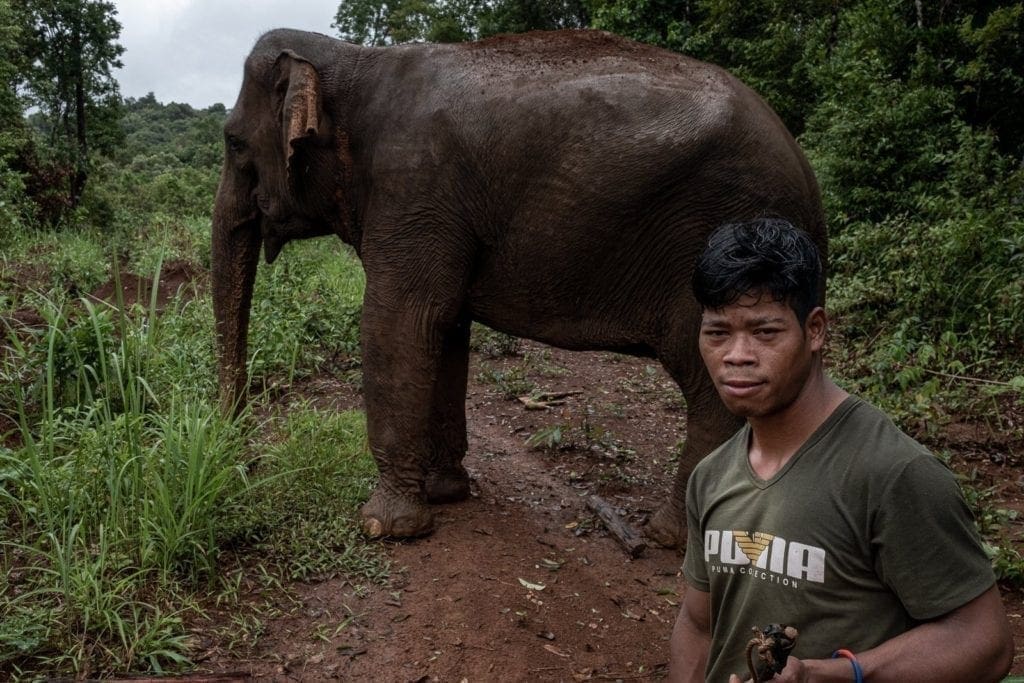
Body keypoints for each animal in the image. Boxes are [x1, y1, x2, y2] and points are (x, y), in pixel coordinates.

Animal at [212, 28, 826, 547]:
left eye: (234, 142)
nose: (243, 457)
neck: (355, 59)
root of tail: (804, 169)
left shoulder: (411, 186)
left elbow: (397, 323)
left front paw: (385, 526)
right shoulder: (434, 211)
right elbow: (444, 326)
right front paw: (446, 492)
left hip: (720, 252)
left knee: (710, 387)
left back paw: (667, 536)